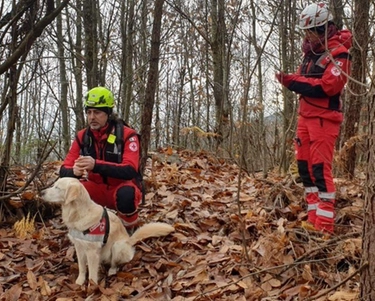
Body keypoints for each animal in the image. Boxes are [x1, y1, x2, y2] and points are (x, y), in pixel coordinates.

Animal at [42, 177, 175, 284]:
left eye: (57, 187)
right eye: (54, 185)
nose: (41, 192)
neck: (79, 213)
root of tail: (129, 240)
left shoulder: (92, 251)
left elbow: (92, 273)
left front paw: (92, 287)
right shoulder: (79, 247)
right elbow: (82, 267)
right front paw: (80, 282)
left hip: (117, 246)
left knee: (117, 262)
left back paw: (112, 270)